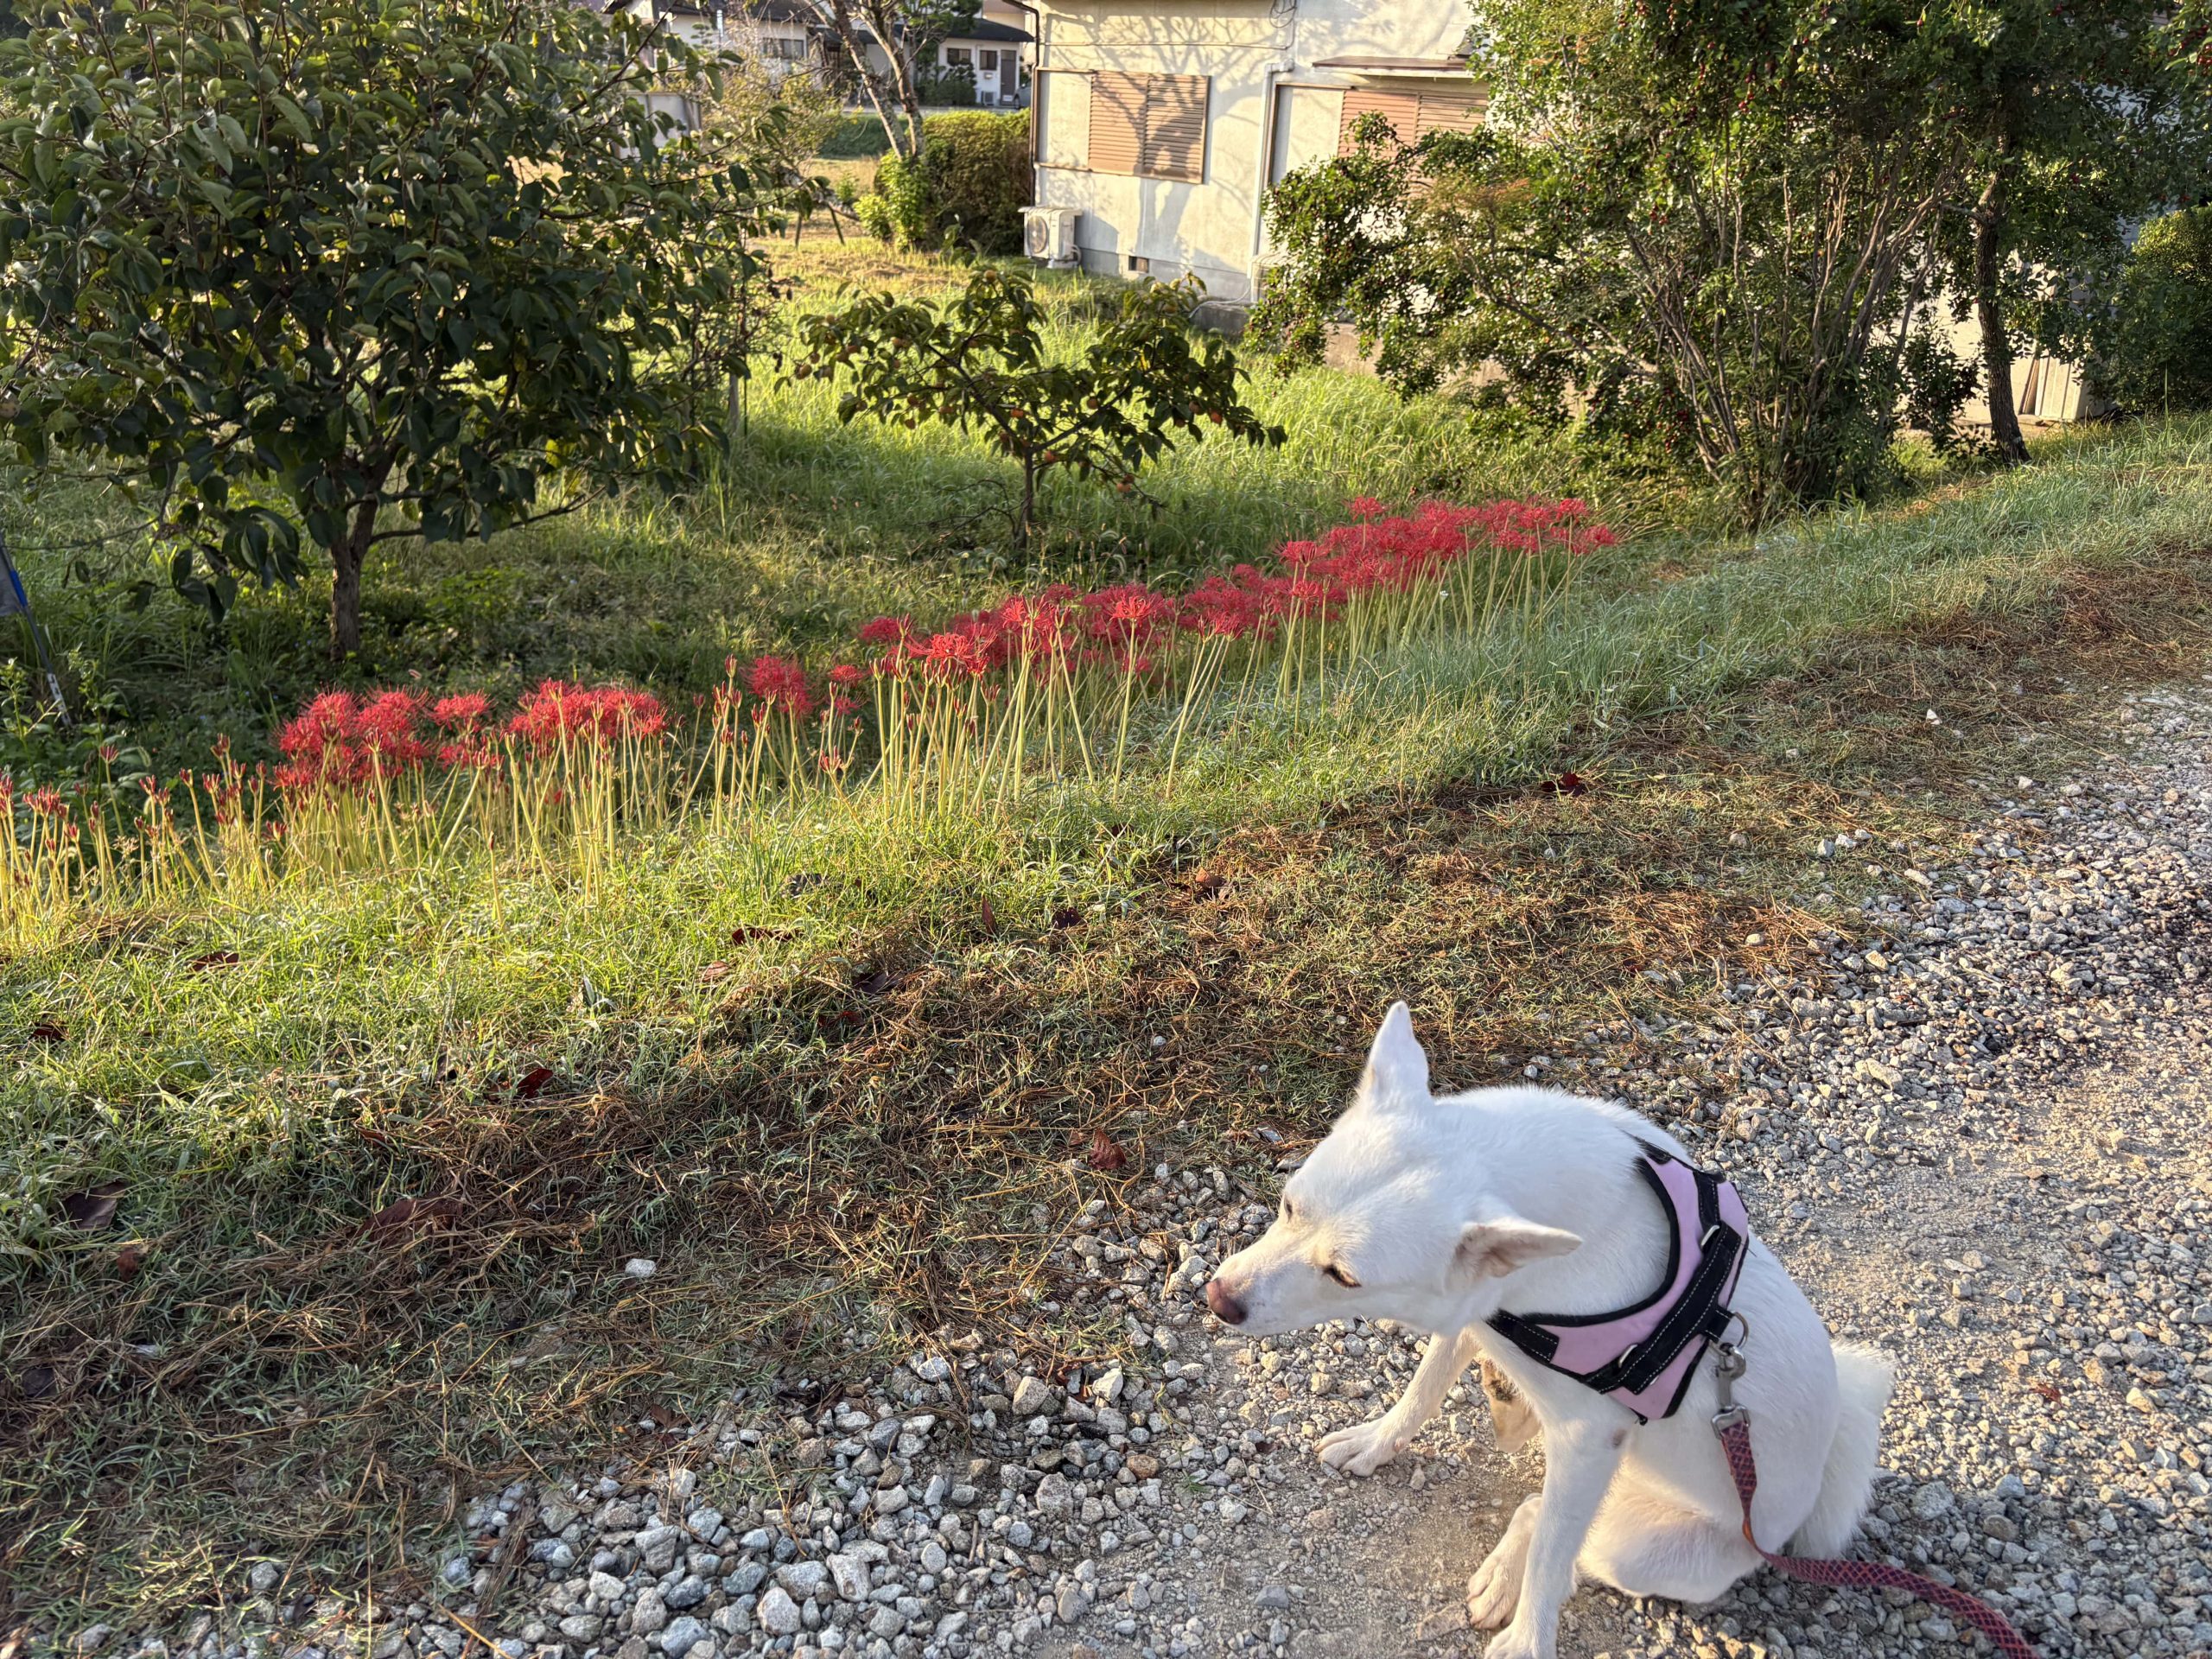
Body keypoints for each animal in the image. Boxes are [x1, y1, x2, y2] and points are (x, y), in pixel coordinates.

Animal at [1206, 1004, 1894, 1659]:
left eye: (1342, 1275)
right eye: (1290, 1206)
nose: (1218, 1301)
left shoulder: (1590, 1436)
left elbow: (1553, 1551)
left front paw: (1528, 1640)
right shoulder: (1475, 1313)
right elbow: (1422, 1391)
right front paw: (1377, 1441)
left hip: (1638, 1543)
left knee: (1555, 1528)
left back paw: (1507, 1574)